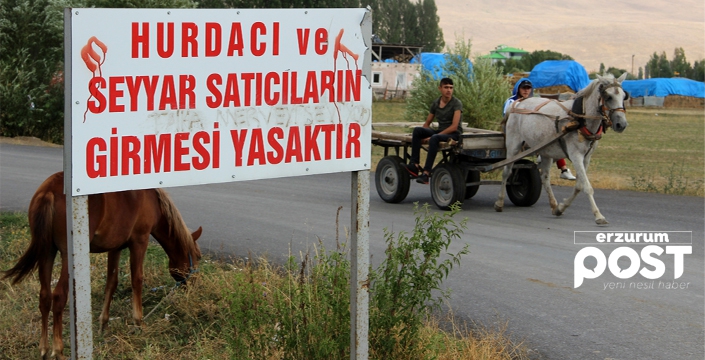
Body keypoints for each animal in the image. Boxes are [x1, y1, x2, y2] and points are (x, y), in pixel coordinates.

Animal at [2, 172, 201, 360]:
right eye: (198, 256)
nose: (193, 285)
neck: (151, 200)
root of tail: (49, 190)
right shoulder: (140, 242)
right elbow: (137, 280)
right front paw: (139, 321)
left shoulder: (115, 248)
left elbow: (111, 283)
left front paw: (103, 324)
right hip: (66, 256)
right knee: (58, 297)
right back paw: (58, 351)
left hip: (47, 252)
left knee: (44, 297)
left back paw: (43, 349)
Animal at [496, 72, 628, 225]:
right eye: (608, 97)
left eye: (624, 96)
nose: (621, 124)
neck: (580, 118)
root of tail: (517, 103)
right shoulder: (576, 155)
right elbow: (587, 186)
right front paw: (598, 215)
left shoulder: (586, 157)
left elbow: (579, 186)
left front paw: (561, 208)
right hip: (513, 145)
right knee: (507, 172)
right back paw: (499, 203)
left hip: (545, 150)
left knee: (545, 177)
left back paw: (554, 205)